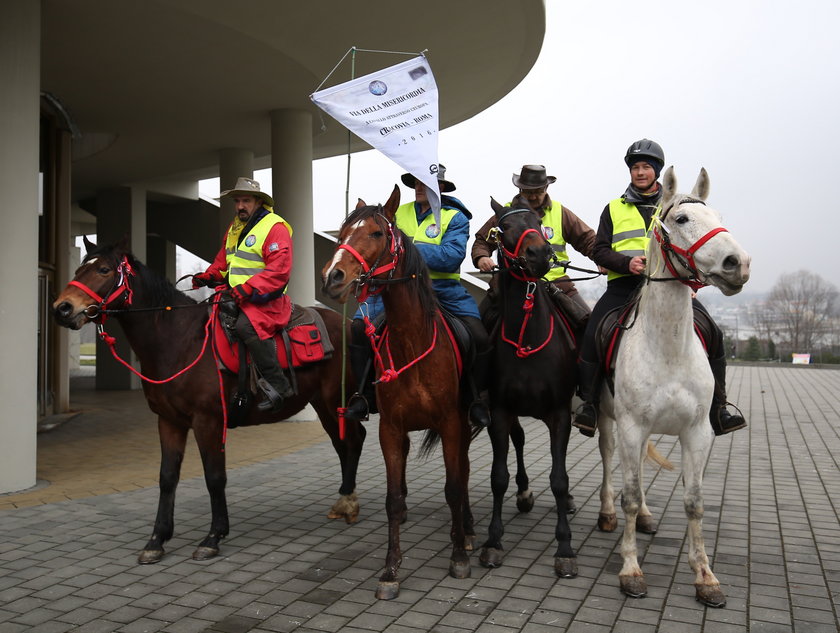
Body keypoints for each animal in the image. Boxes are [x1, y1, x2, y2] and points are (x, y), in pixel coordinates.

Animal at [51, 237, 364, 564]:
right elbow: (167, 477)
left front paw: (213, 536)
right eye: (79, 269)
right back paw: (344, 497)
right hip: (322, 404)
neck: (179, 341)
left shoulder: (208, 421)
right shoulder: (169, 421)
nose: (62, 308)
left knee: (353, 441)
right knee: (342, 444)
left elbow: (214, 476)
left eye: (103, 269)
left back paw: (349, 504)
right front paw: (157, 540)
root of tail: (345, 322)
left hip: (336, 399)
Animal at [322, 186, 476, 596]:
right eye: (341, 234)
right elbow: (392, 499)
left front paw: (459, 556)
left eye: (376, 233)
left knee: (464, 473)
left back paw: (468, 530)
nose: (333, 277)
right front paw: (391, 569)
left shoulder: (452, 424)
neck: (411, 340)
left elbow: (453, 487)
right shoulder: (390, 428)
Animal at [476, 199, 580, 576]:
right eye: (503, 229)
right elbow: (499, 477)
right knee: (519, 441)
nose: (538, 254)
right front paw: (493, 541)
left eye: (538, 221)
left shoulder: (560, 414)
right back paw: (523, 493)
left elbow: (559, 478)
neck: (528, 336)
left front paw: (565, 547)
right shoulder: (500, 411)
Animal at [592, 165, 752, 604]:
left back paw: (648, 517)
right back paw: (608, 514)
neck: (667, 348)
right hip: (609, 422)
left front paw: (705, 576)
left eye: (717, 215)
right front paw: (631, 570)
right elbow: (629, 495)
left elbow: (694, 502)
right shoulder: (631, 427)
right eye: (681, 219)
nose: (738, 263)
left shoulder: (697, 432)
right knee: (611, 464)